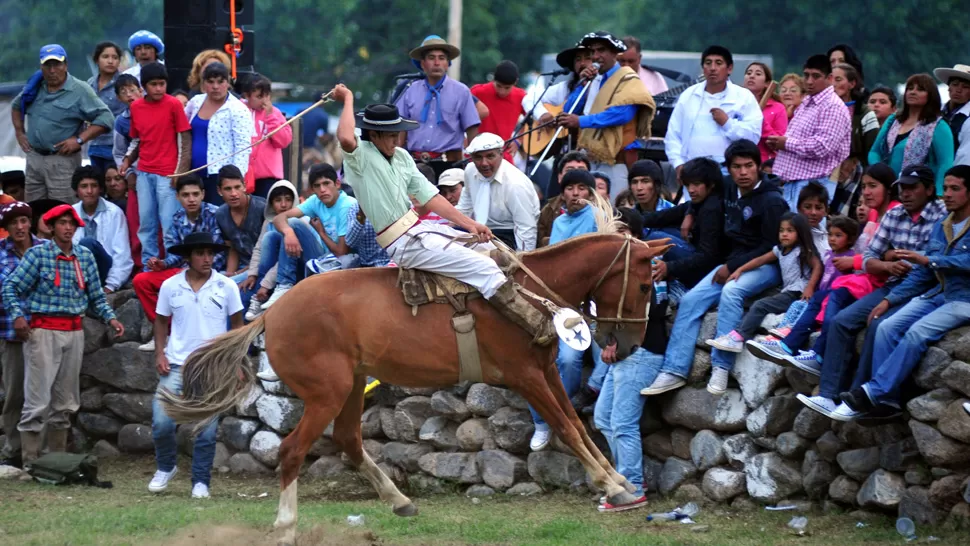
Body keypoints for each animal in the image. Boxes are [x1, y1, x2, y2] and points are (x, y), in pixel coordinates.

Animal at [163, 232, 668, 540]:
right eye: (645, 285)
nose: (629, 344)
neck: (525, 292)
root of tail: (271, 312)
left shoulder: (545, 373)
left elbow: (577, 427)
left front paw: (618, 479)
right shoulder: (525, 377)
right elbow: (565, 427)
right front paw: (614, 486)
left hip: (351, 385)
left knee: (349, 440)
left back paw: (400, 500)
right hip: (327, 392)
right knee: (291, 451)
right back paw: (287, 526)